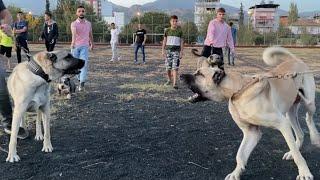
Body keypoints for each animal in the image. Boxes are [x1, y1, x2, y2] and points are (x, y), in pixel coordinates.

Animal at [181, 46, 318, 180]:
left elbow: (297, 155)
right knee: (300, 133)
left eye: (199, 74)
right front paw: (236, 173)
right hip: (290, 114)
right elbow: (240, 155)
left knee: (309, 118)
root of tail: (295, 60)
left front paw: (304, 172)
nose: (181, 75)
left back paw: (315, 137)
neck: (238, 90)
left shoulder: (282, 124)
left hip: (309, 103)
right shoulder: (251, 132)